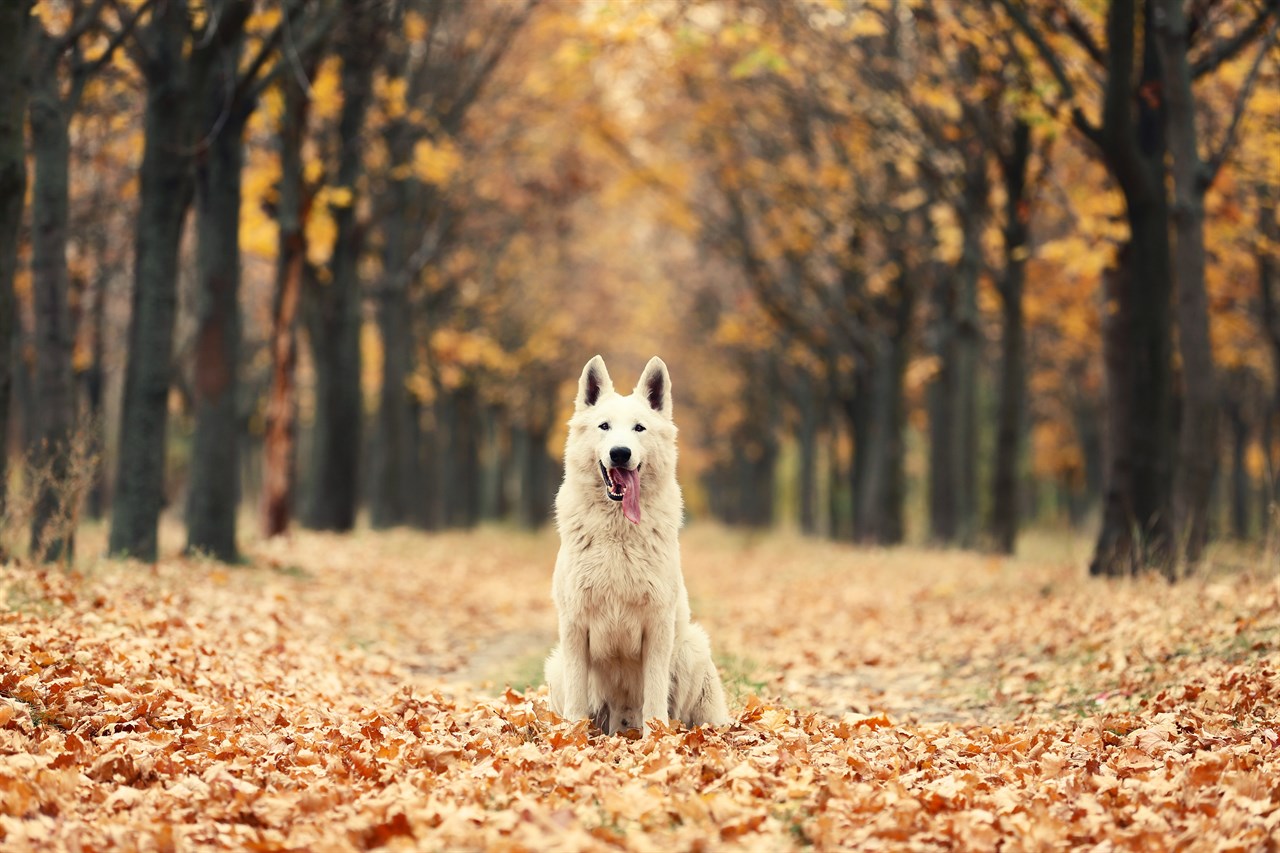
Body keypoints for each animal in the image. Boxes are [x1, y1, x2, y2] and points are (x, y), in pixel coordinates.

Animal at [545, 356, 732, 732]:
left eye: (639, 428)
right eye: (604, 426)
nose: (620, 453)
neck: (619, 533)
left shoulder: (658, 625)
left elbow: (655, 698)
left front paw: (656, 736)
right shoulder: (574, 626)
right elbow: (576, 702)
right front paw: (572, 736)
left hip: (691, 647)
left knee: (682, 713)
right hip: (556, 664)